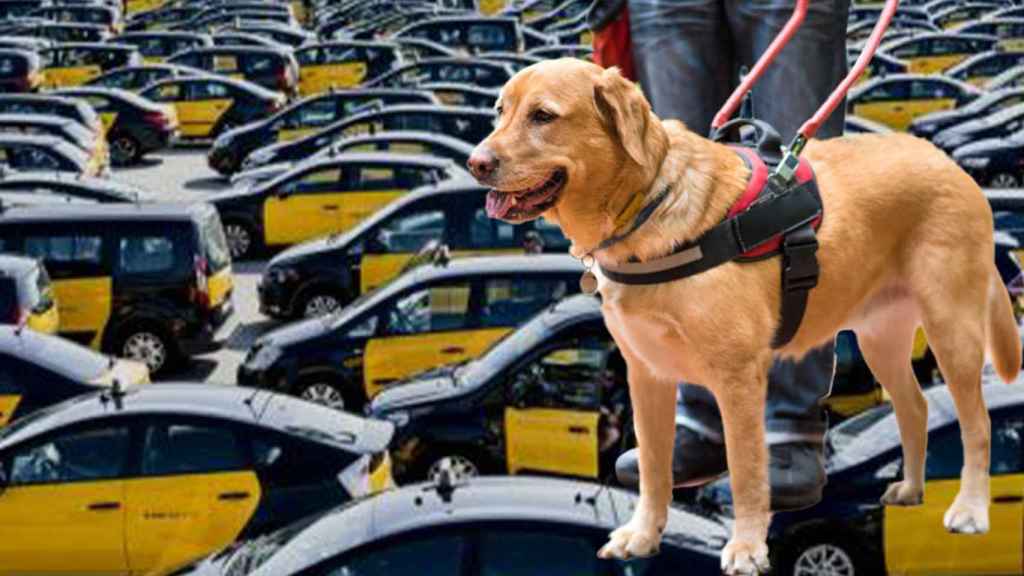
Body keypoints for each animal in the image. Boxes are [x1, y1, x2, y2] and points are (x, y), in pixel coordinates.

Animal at [468, 59, 1024, 573]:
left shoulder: (738, 379)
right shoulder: (646, 375)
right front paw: (644, 535)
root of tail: (949, 164)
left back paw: (970, 508)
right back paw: (909, 488)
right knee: (916, 407)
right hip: (879, 339)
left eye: (543, 116)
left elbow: (746, 471)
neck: (649, 208)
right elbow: (653, 467)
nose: (476, 162)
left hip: (952, 330)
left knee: (976, 424)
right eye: (500, 111)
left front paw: (747, 546)